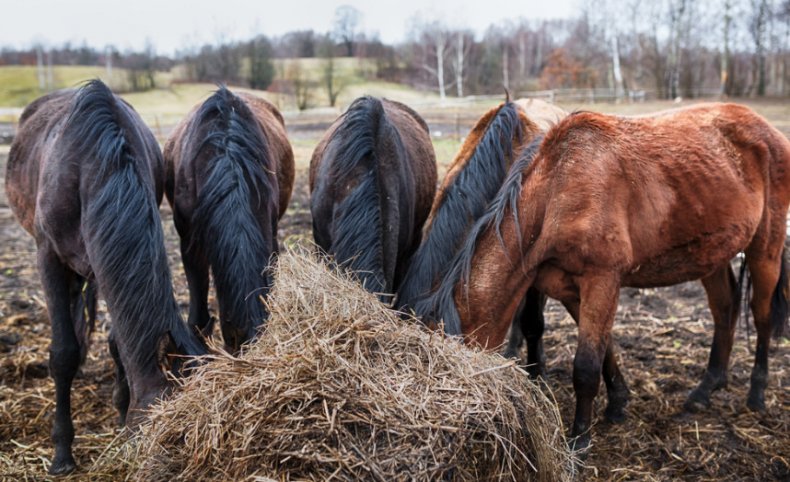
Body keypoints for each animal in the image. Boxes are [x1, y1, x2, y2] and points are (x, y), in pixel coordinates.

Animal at [5, 80, 207, 474]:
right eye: (171, 437)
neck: (90, 164)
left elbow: (116, 342)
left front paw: (120, 412)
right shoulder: (48, 258)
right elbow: (63, 352)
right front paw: (62, 453)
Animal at [418, 103, 788, 454]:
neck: (557, 190)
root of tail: (768, 132)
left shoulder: (602, 280)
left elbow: (585, 367)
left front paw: (580, 441)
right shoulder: (568, 287)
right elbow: (604, 349)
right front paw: (618, 402)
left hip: (764, 249)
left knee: (761, 316)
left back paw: (756, 393)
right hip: (711, 255)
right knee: (724, 310)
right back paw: (707, 387)